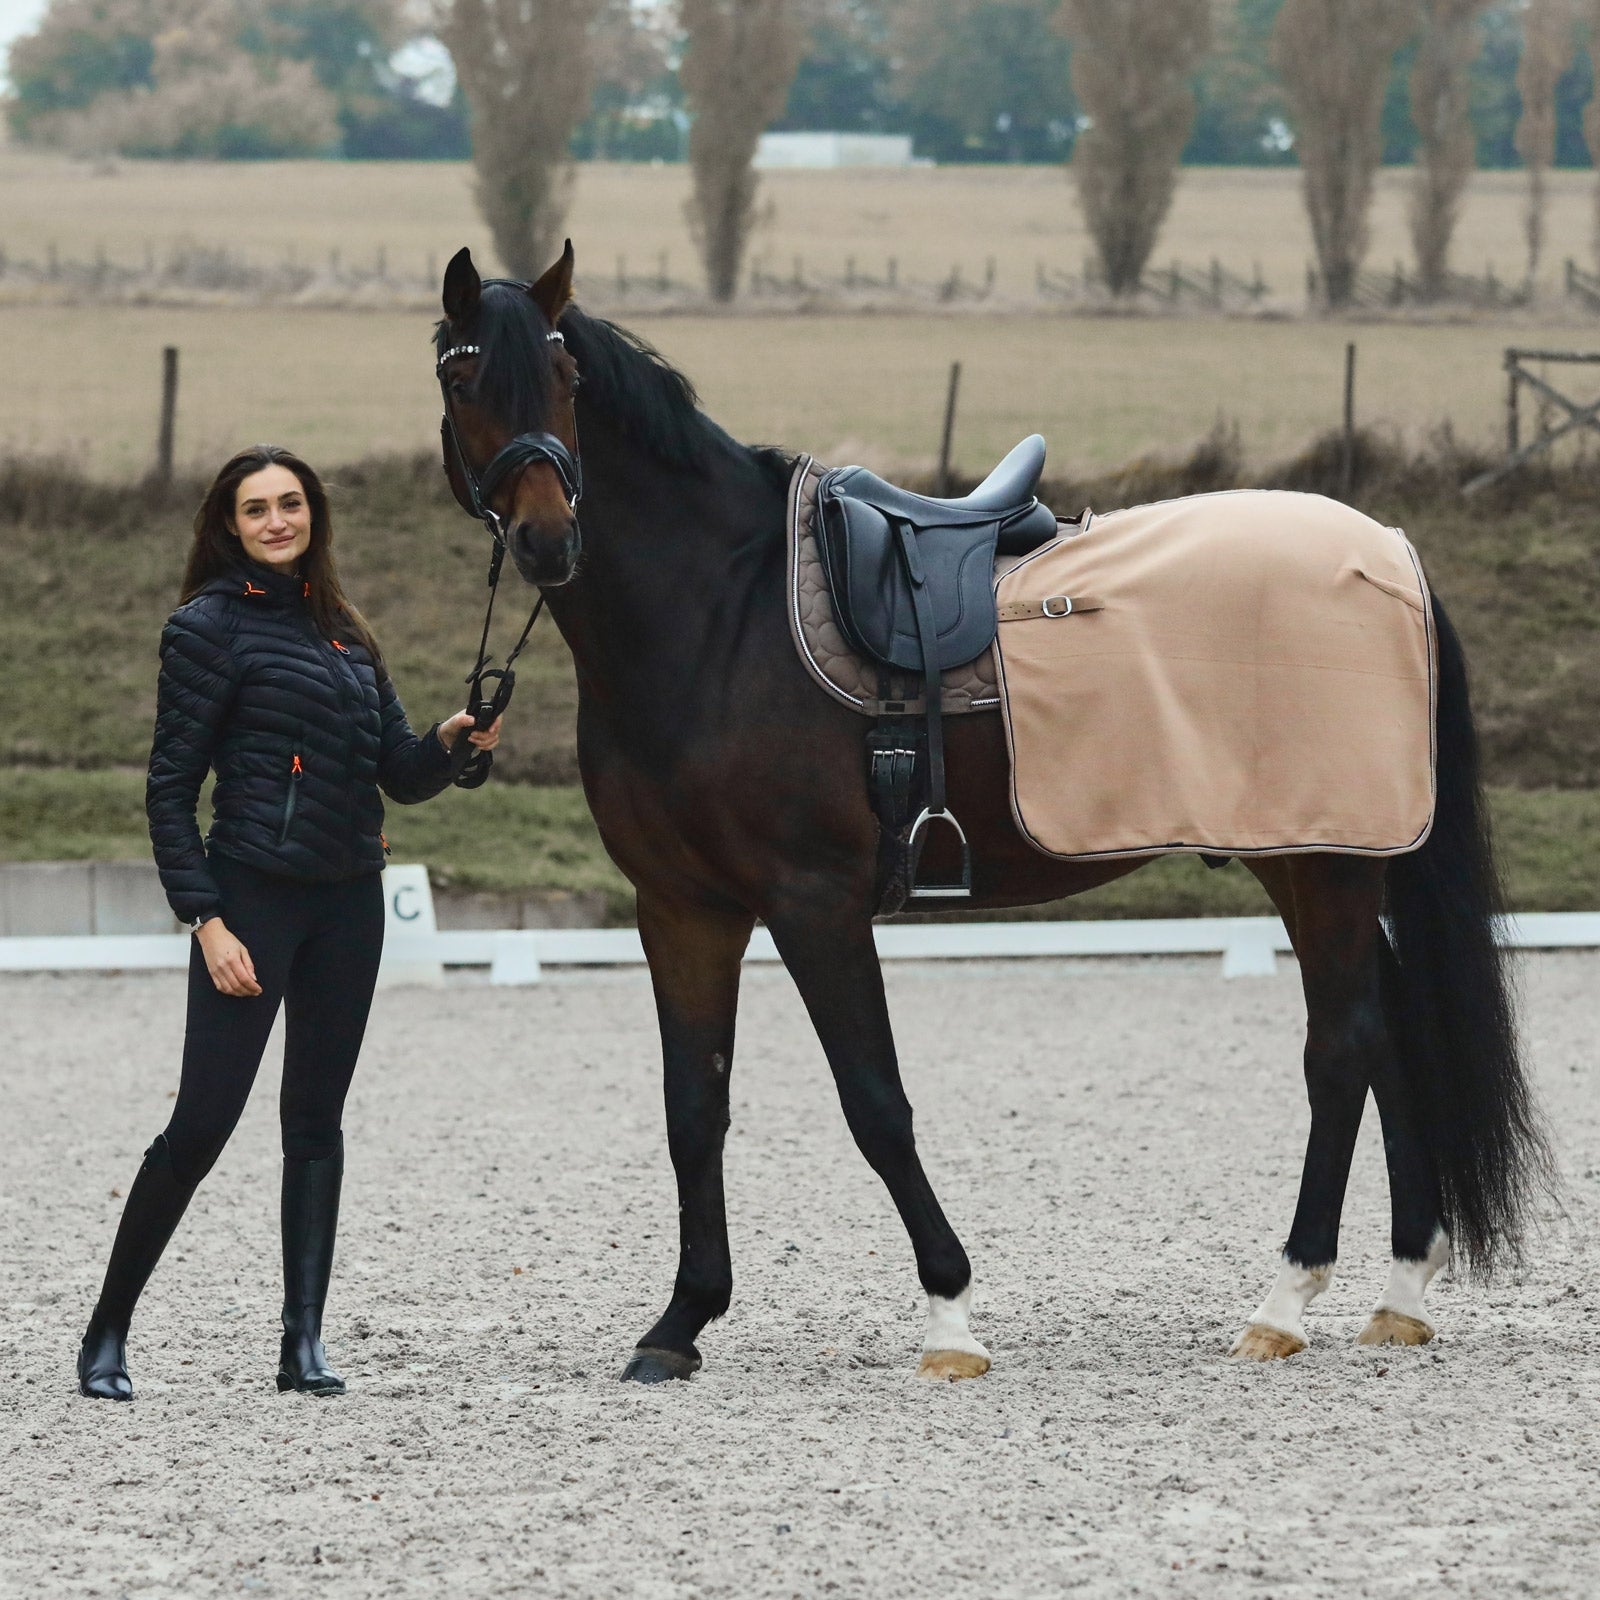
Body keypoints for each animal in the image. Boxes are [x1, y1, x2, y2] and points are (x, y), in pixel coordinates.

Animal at [431, 243, 1550, 1383]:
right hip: (1307, 853)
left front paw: (949, 1313)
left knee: (1342, 1045)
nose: (548, 538)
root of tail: (1389, 555)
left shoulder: (813, 902)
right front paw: (680, 1320)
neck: (717, 614)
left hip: (1324, 860)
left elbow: (875, 1103)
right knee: (1387, 1032)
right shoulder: (682, 908)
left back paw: (1283, 1299)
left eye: (566, 381)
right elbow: (693, 1109)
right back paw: (1399, 1287)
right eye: (462, 382)